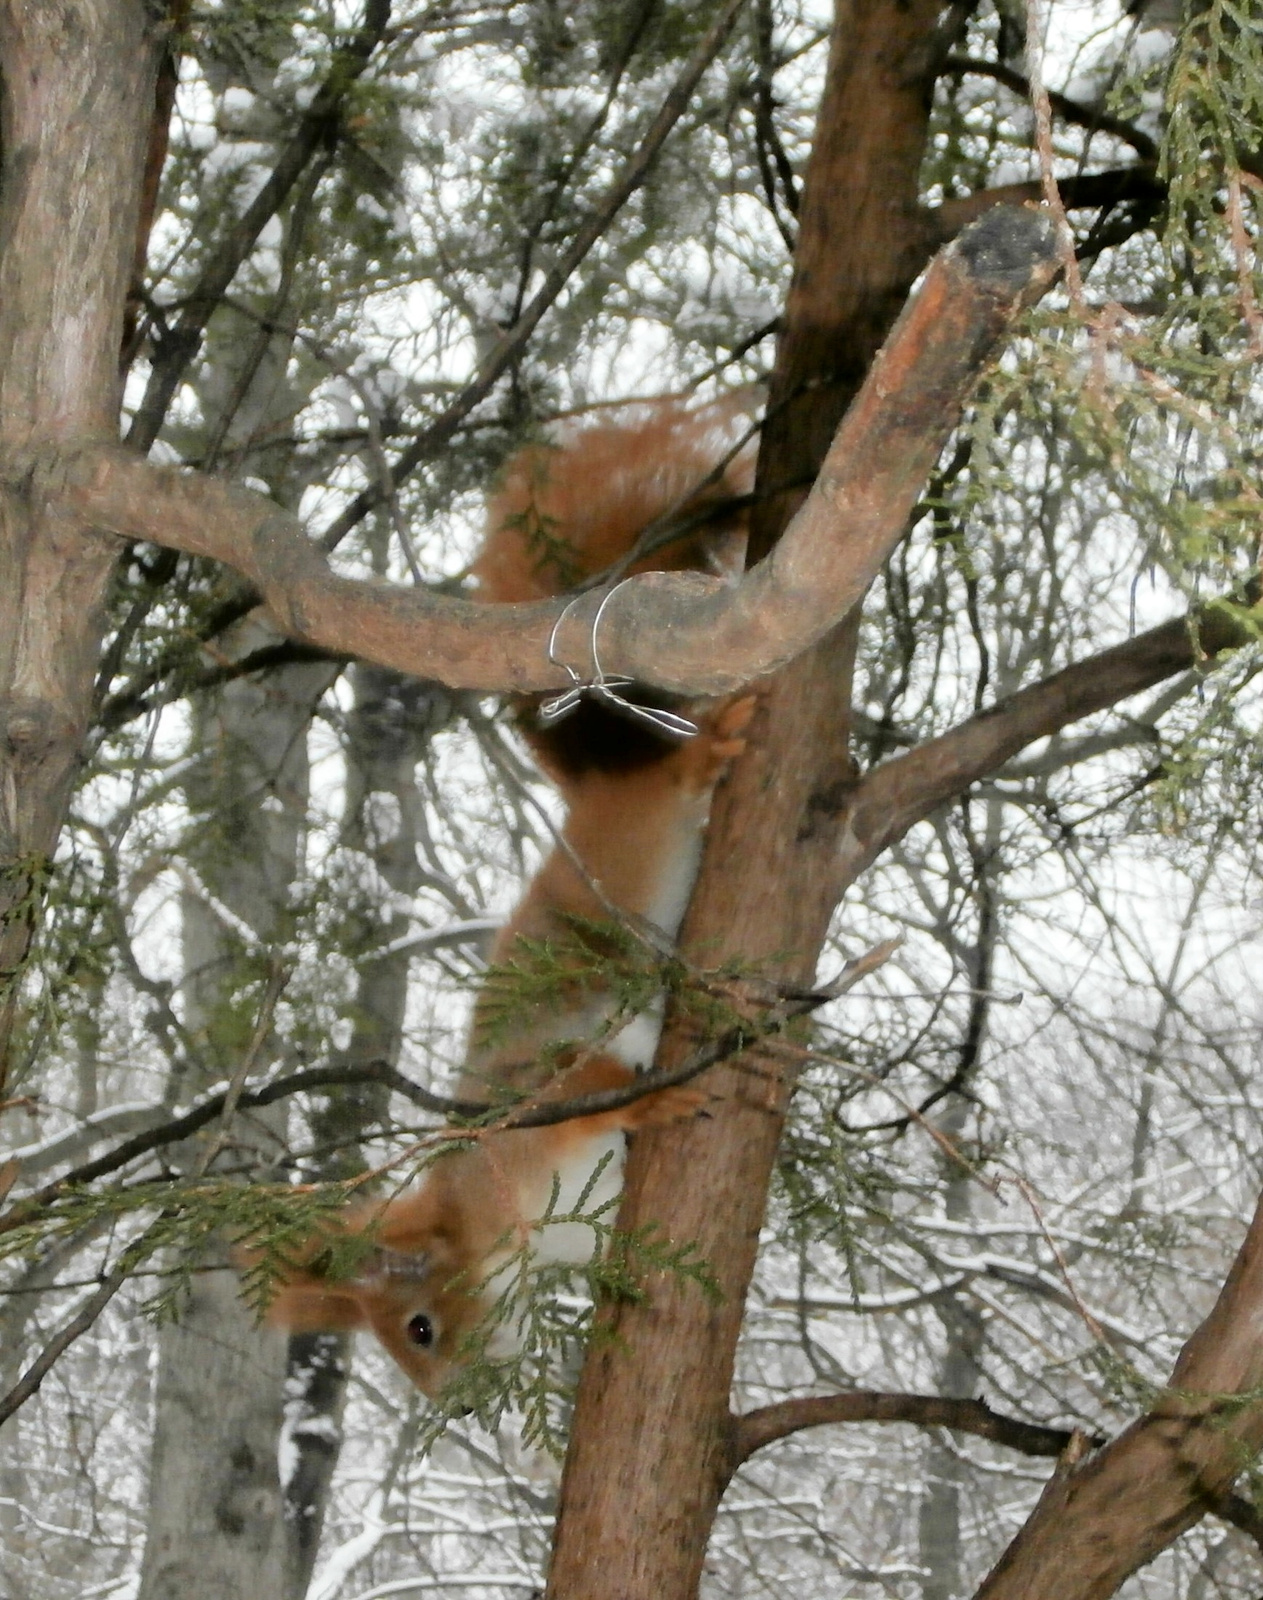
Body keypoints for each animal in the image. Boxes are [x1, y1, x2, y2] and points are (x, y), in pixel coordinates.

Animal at [264, 400, 752, 1401]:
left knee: (676, 775)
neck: (495, 1218)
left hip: (642, 832)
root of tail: (593, 787)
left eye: (417, 1327)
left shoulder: (534, 1111)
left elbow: (591, 1089)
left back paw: (713, 742)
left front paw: (638, 1110)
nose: (451, 1405)